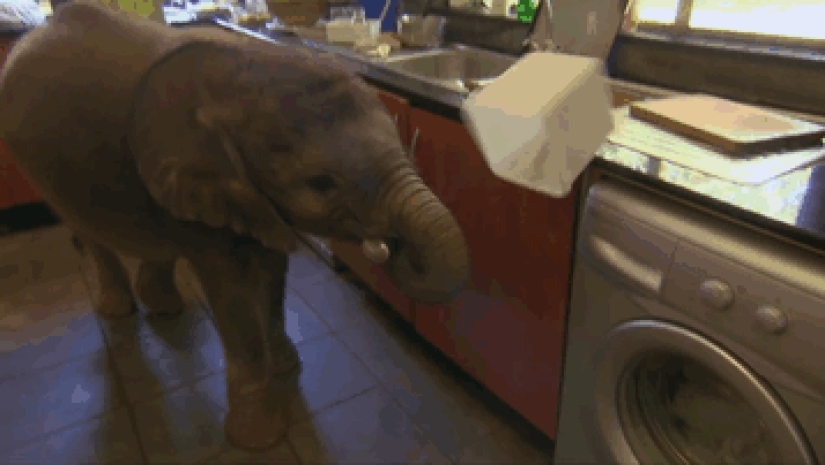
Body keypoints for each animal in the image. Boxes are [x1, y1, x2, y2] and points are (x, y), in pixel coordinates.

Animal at [0, 1, 470, 451]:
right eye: (321, 183)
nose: (390, 247)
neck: (238, 80)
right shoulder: (198, 176)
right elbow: (229, 290)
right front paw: (259, 437)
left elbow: (274, 272)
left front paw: (287, 369)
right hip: (38, 166)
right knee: (90, 234)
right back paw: (119, 311)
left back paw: (165, 308)